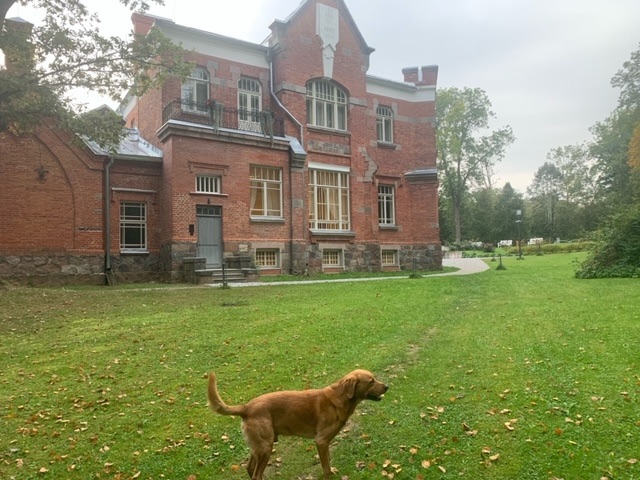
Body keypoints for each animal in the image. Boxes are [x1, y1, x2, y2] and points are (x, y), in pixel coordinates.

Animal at [207, 369, 388, 479]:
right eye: (371, 381)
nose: (387, 386)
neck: (340, 399)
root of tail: (246, 407)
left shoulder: (325, 443)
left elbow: (328, 462)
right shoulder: (321, 441)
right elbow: (326, 467)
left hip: (259, 447)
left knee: (250, 469)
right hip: (265, 448)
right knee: (256, 474)